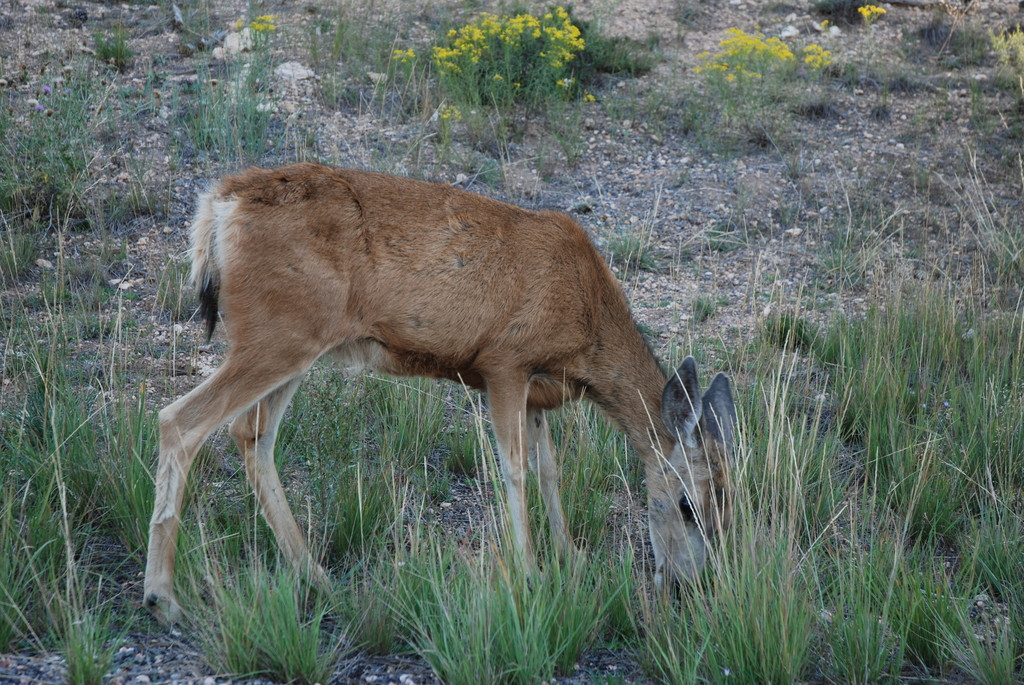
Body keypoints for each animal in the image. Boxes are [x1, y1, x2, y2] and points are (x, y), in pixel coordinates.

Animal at [144, 162, 737, 622]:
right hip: (277, 332)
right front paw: (529, 572)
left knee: (252, 435)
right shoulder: (505, 361)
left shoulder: (538, 391)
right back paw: (163, 598)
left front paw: (570, 559)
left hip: (295, 340)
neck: (587, 324)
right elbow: (514, 470)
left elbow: (549, 469)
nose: (691, 586)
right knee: (180, 420)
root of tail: (220, 203)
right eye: (687, 506)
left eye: (728, 506)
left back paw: (315, 576)